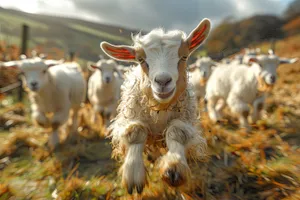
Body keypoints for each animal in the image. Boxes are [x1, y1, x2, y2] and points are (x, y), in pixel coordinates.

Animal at [99, 18, 210, 194]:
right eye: (141, 60)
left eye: (184, 56)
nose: (163, 81)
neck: (159, 108)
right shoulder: (131, 115)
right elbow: (136, 131)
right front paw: (133, 173)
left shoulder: (184, 118)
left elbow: (177, 131)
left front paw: (174, 167)